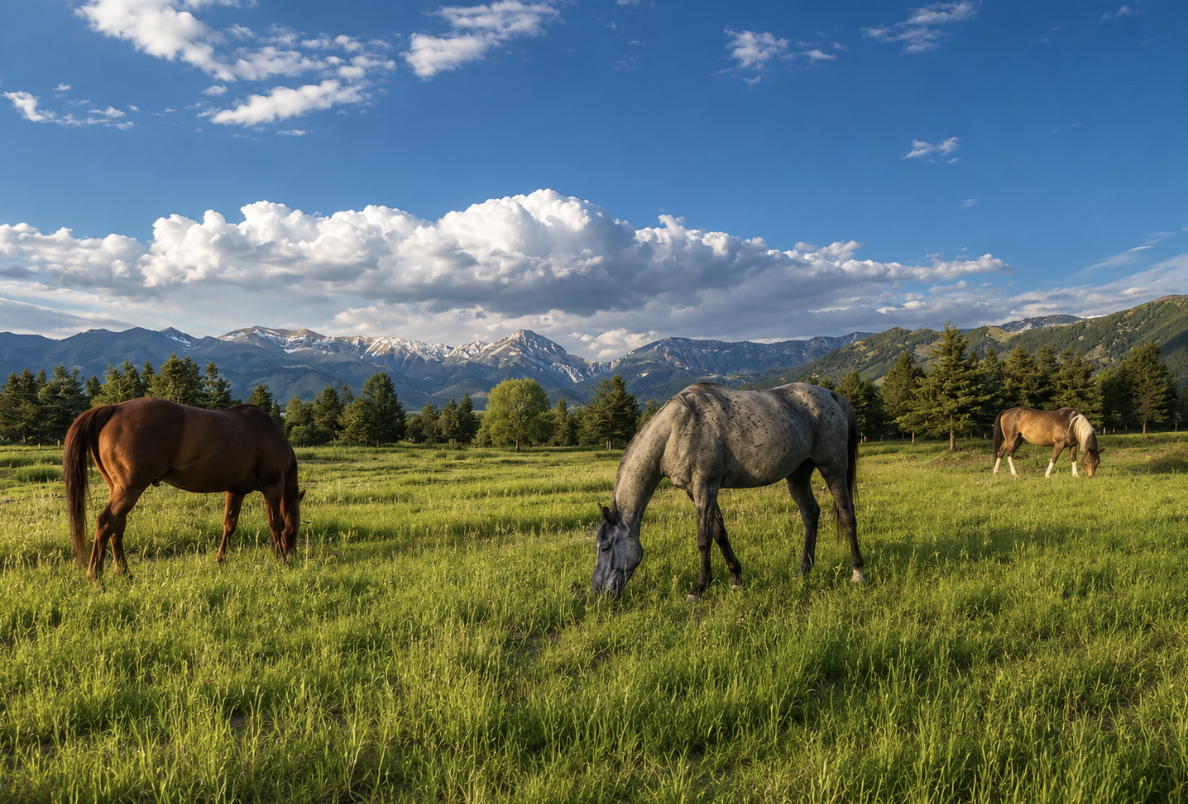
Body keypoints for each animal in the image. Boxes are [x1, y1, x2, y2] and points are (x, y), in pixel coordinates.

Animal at [63, 397, 304, 588]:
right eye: (296, 529)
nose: (294, 556)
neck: (267, 432)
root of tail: (114, 408)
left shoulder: (235, 491)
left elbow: (229, 525)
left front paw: (221, 561)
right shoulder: (273, 487)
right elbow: (275, 524)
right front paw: (282, 560)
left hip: (118, 489)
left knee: (117, 528)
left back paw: (124, 573)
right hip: (129, 489)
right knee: (105, 522)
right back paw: (96, 578)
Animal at [591, 382, 863, 602]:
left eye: (605, 548)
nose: (597, 592)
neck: (675, 430)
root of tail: (830, 395)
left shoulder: (705, 487)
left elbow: (704, 539)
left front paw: (699, 588)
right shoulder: (697, 492)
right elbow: (720, 533)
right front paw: (737, 580)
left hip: (833, 468)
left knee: (847, 515)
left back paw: (857, 572)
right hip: (798, 475)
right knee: (810, 515)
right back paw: (803, 571)